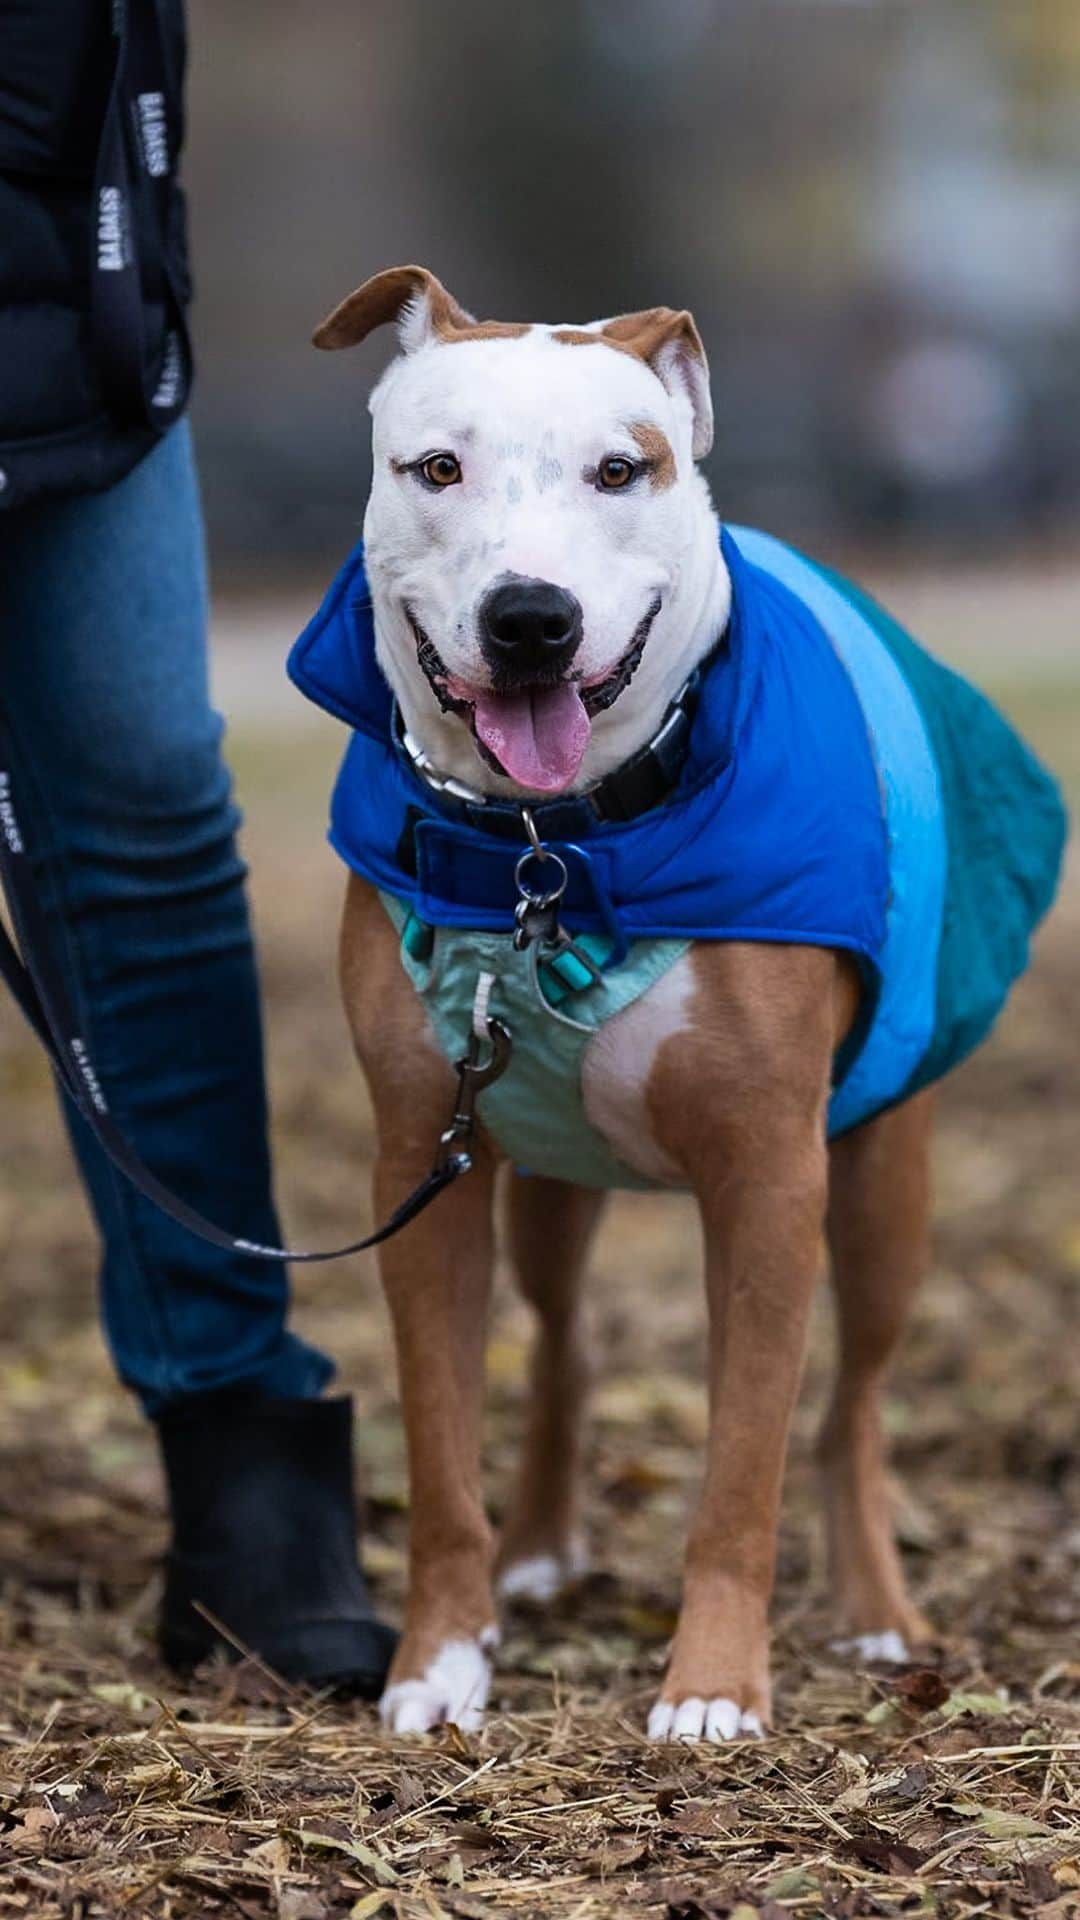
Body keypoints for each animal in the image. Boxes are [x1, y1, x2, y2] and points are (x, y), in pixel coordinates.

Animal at [290, 263, 1060, 1735]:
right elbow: (442, 1447)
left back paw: (878, 1617)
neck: (551, 850)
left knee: (852, 1407)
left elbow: (745, 1459)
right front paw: (441, 1663)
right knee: (565, 1344)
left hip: (882, 1188)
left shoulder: (768, 1179)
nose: (532, 617)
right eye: (437, 467)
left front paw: (711, 1691)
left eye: (620, 468)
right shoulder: (423, 1166)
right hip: (545, 1174)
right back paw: (540, 1551)